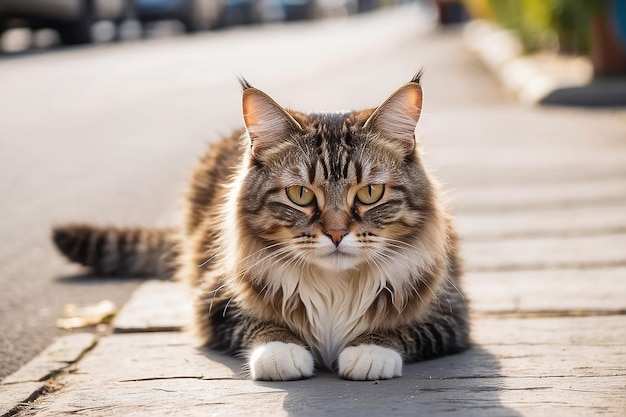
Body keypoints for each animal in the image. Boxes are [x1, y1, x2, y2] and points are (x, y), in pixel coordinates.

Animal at [52, 72, 468, 380]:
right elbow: (262, 324)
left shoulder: (451, 312)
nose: (336, 234)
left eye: (370, 192)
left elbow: (399, 328)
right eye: (300, 194)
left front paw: (369, 351)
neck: (334, 287)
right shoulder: (214, 298)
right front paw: (283, 353)